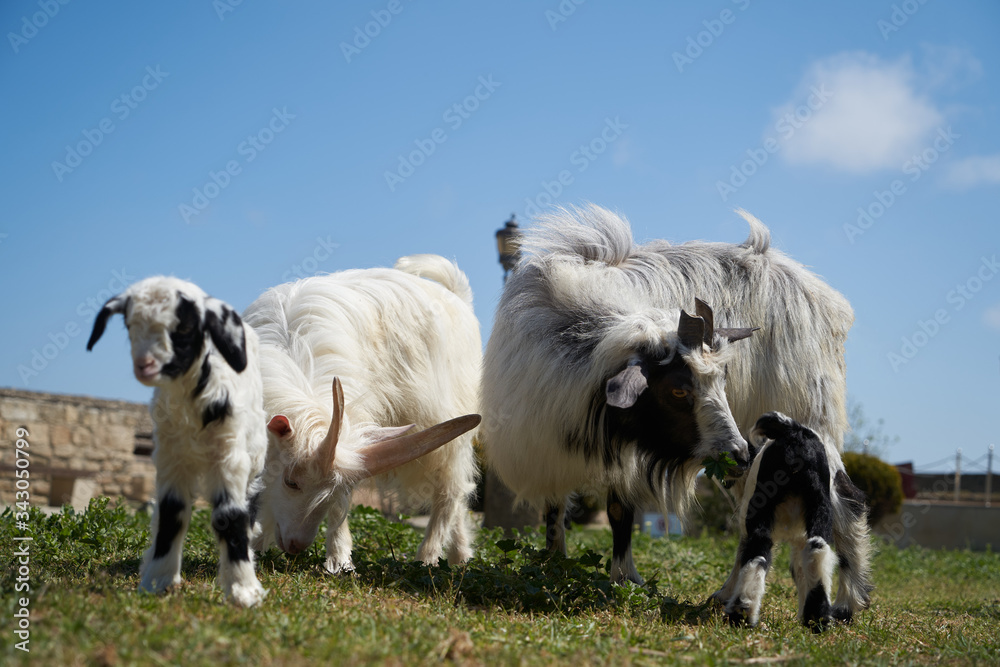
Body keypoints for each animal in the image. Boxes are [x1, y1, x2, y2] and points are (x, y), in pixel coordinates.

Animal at [87, 276, 267, 607]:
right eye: (129, 325)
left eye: (184, 328)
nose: (145, 365)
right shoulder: (171, 459)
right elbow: (172, 514)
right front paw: (157, 581)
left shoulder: (229, 455)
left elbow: (231, 516)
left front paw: (243, 590)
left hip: (254, 455)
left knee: (248, 510)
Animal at [244, 254, 481, 573]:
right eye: (291, 482)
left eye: (331, 492)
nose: (296, 546)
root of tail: (458, 296)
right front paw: (257, 545)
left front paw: (339, 561)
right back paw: (459, 557)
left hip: (450, 424)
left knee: (451, 490)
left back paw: (429, 558)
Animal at [481, 204, 853, 586]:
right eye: (677, 389)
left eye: (722, 382)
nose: (738, 453)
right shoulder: (547, 447)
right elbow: (554, 509)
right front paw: (554, 562)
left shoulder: (628, 455)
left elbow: (619, 511)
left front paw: (624, 577)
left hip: (802, 422)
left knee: (841, 504)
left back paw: (847, 595)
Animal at [713, 411, 873, 631]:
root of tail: (795, 433)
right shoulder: (799, 537)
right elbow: (801, 571)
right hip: (819, 507)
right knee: (816, 548)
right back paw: (816, 618)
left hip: (762, 510)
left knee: (759, 552)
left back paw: (742, 612)